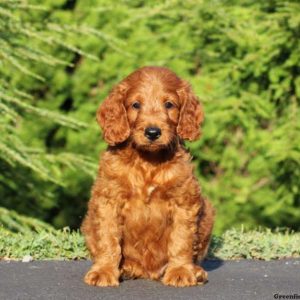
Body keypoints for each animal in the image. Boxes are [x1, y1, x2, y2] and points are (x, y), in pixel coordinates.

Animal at [81, 67, 214, 288]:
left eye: (169, 104)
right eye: (136, 105)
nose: (153, 132)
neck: (148, 161)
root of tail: (148, 273)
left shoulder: (184, 200)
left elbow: (181, 239)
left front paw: (180, 271)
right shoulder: (108, 199)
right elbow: (108, 238)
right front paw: (104, 271)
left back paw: (195, 271)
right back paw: (126, 269)